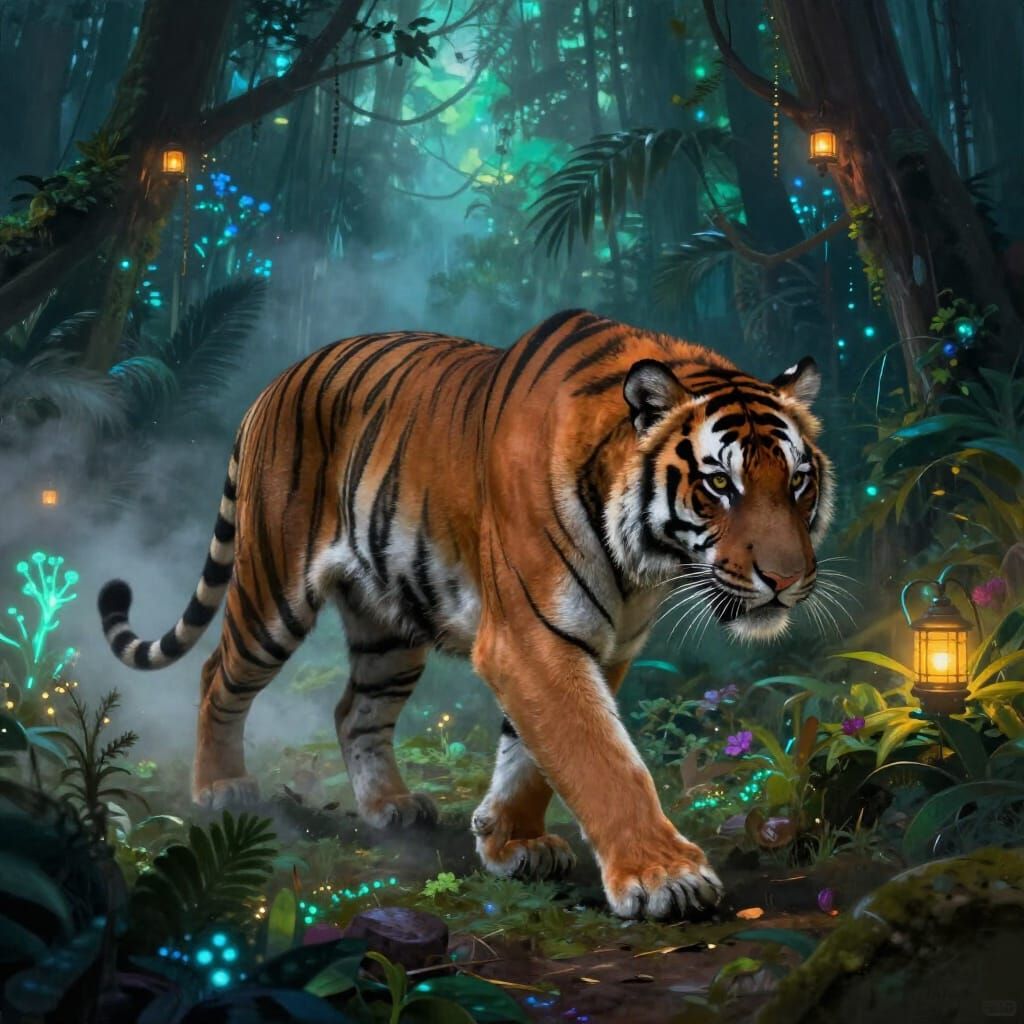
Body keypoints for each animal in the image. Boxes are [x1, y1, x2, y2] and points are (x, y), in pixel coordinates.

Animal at [97, 308, 833, 920]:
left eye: (798, 481)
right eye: (720, 484)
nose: (786, 579)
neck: (642, 564)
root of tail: (273, 384)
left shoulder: (604, 643)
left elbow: (533, 754)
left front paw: (510, 841)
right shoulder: (531, 639)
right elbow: (602, 757)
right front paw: (664, 877)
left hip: (389, 628)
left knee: (354, 710)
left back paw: (390, 805)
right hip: (272, 590)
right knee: (217, 674)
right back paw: (221, 787)